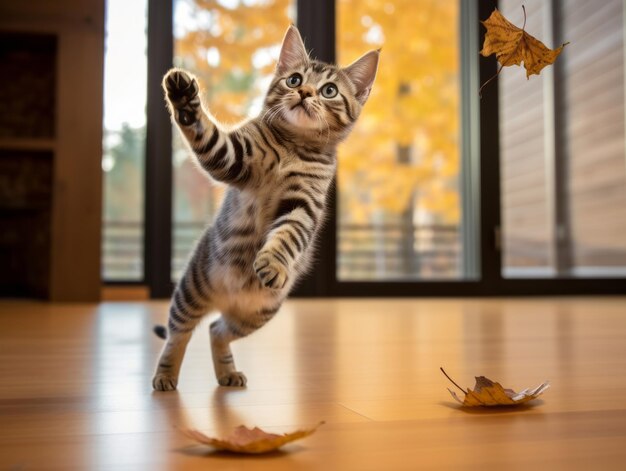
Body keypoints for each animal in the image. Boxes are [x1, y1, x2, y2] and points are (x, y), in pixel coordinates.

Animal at [150, 24, 380, 390]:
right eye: (295, 80)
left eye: (329, 90)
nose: (305, 93)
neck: (294, 146)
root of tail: (224, 299)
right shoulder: (232, 157)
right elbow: (204, 132)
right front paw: (183, 96)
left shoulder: (303, 204)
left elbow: (286, 236)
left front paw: (272, 262)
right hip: (190, 290)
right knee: (178, 334)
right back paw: (165, 375)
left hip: (258, 313)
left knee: (216, 329)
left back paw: (227, 372)